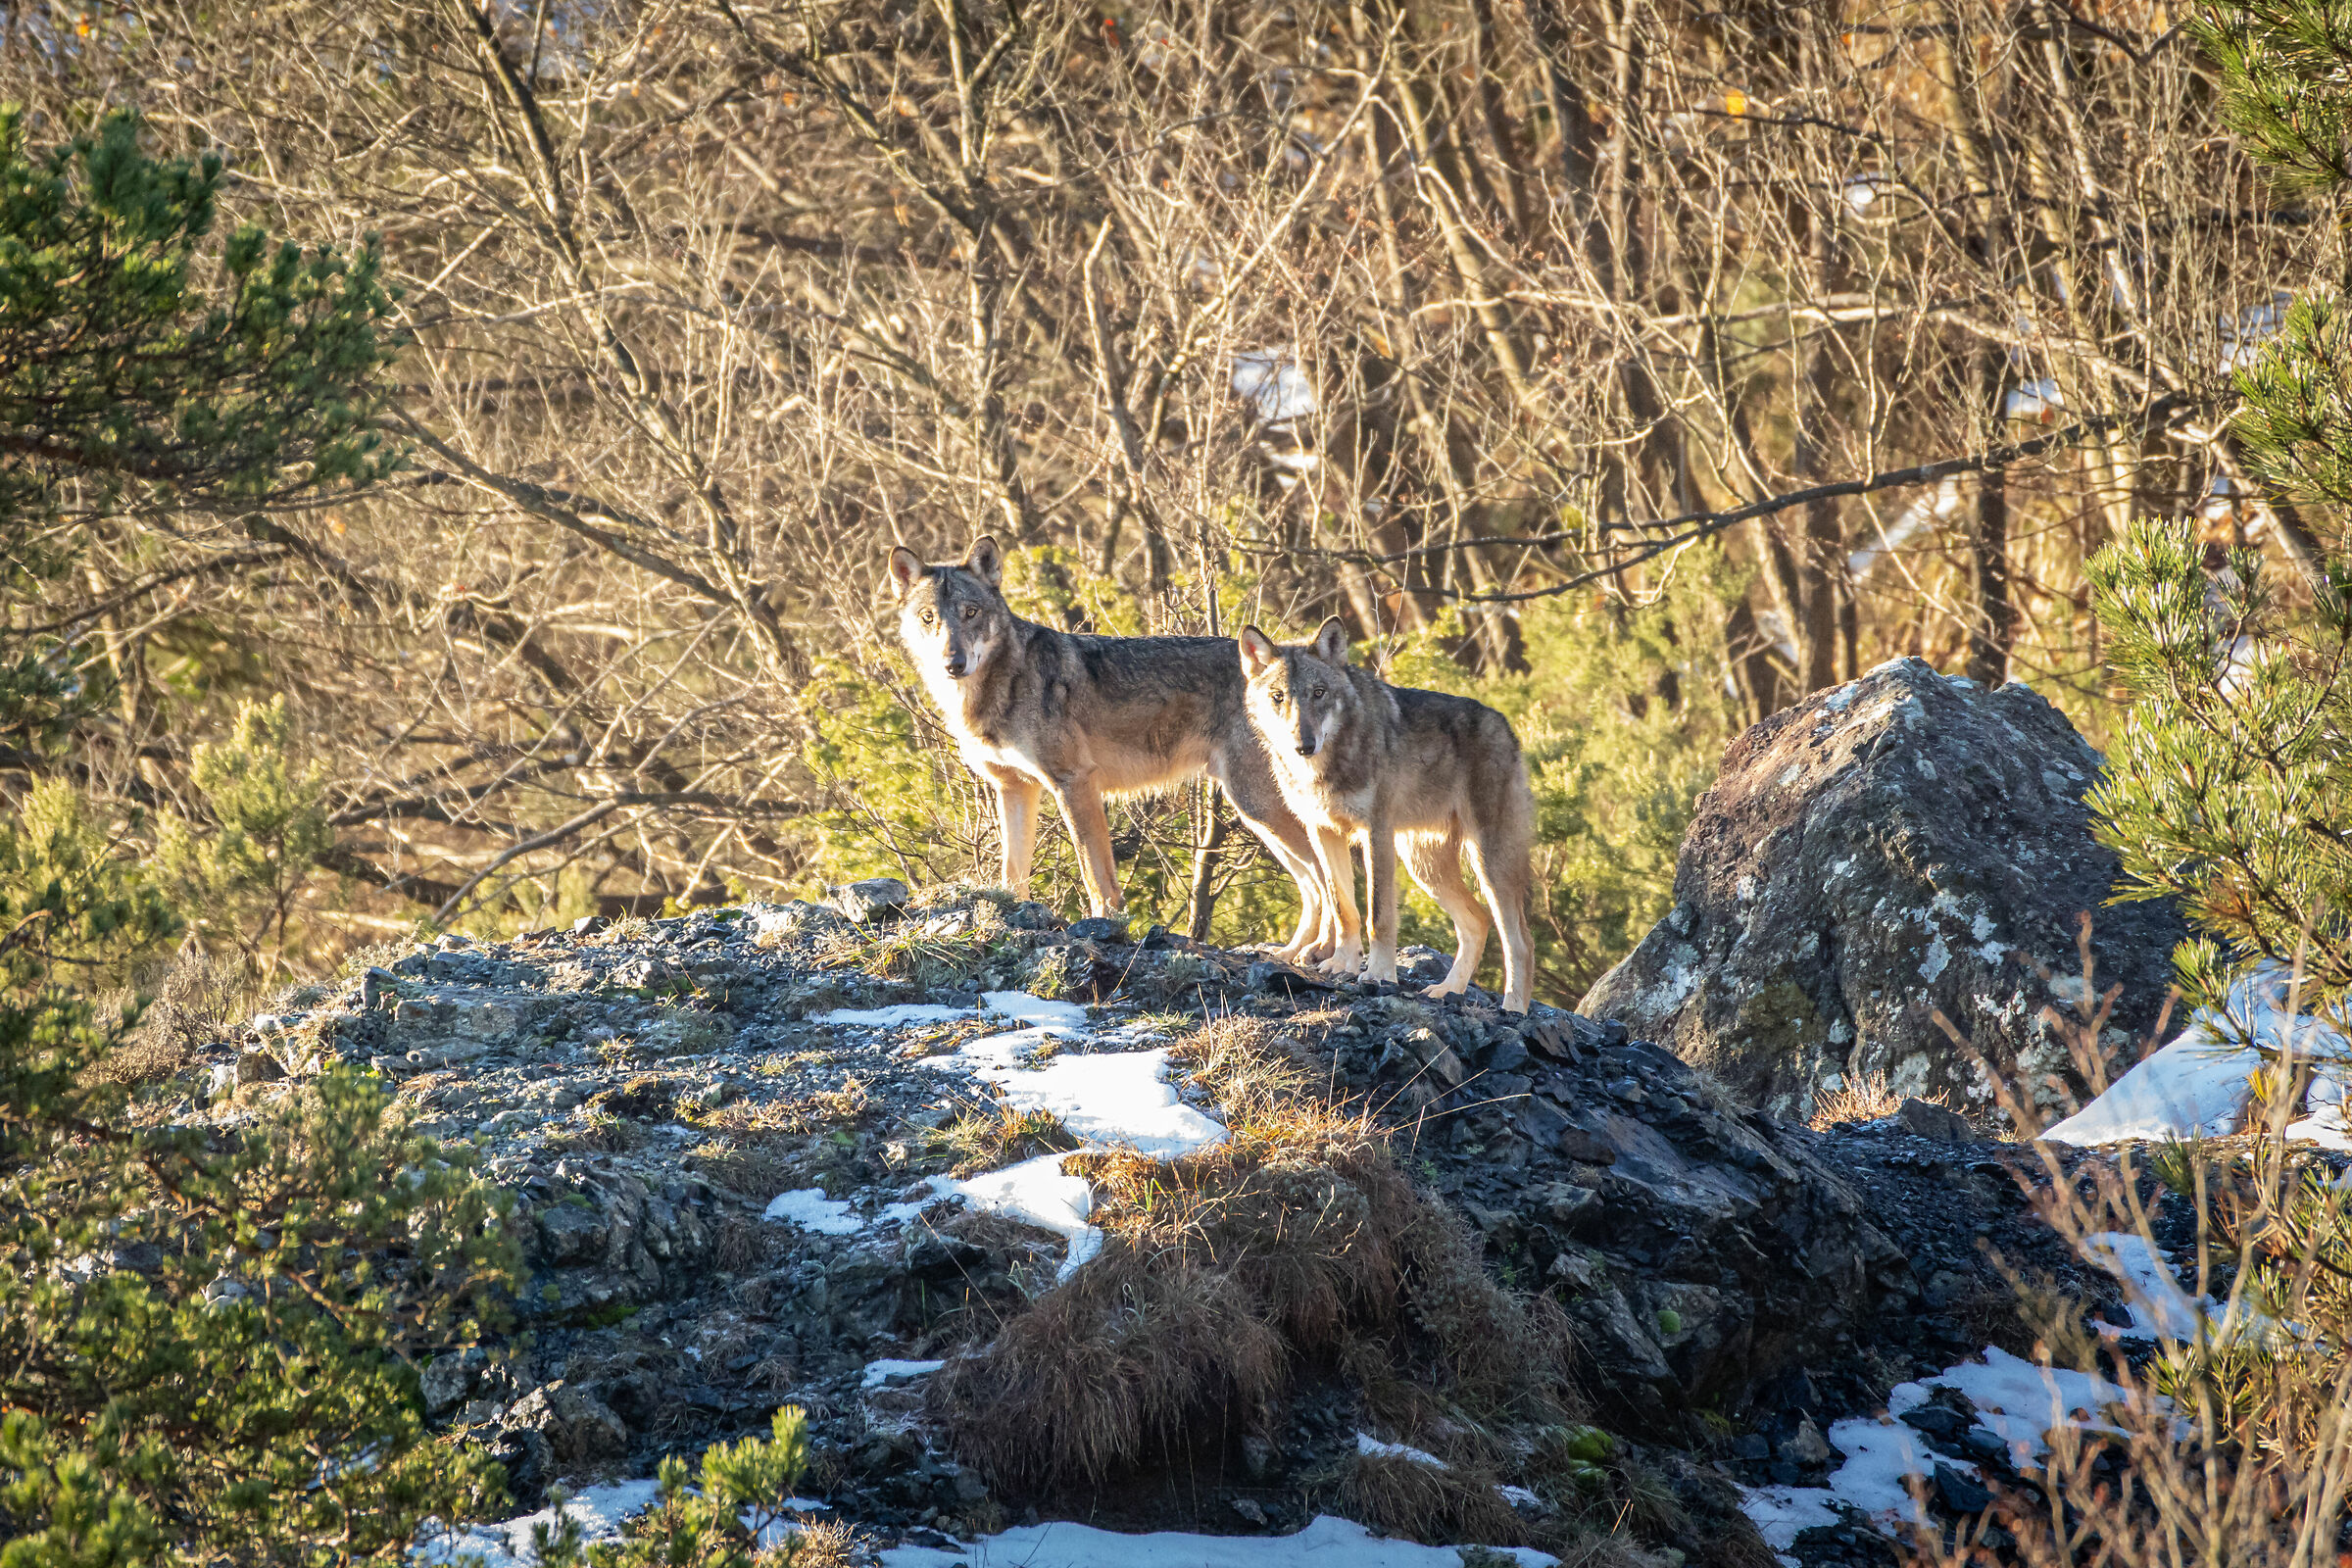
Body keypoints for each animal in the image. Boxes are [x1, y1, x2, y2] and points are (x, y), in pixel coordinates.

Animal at [884, 535, 1336, 958]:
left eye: (970, 613)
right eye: (929, 618)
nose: (953, 664)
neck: (1001, 686)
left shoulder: (1074, 782)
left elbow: (1095, 872)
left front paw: (1106, 925)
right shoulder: (1014, 789)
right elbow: (1013, 872)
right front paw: (1009, 915)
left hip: (1257, 805)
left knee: (1324, 876)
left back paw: (1322, 952)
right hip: (1257, 812)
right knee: (1313, 883)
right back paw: (1295, 951)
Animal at [1242, 620, 1533, 1010]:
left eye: (1318, 693)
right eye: (1278, 697)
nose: (1304, 745)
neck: (1326, 766)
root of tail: (1505, 725)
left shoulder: (1375, 832)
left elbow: (1377, 914)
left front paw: (1378, 974)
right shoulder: (1322, 831)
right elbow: (1342, 907)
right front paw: (1341, 963)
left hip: (1487, 863)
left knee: (1520, 942)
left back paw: (1513, 1008)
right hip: (1425, 866)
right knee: (1477, 922)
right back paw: (1447, 990)